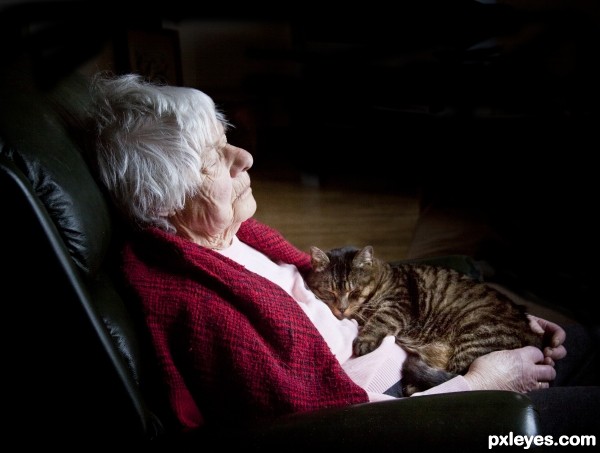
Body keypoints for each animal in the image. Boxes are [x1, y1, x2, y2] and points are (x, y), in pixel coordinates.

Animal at [304, 244, 544, 396]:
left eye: (354, 292)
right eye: (329, 292)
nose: (342, 309)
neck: (384, 278)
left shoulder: (398, 306)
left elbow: (379, 319)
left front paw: (364, 340)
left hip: (474, 334)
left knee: (456, 374)